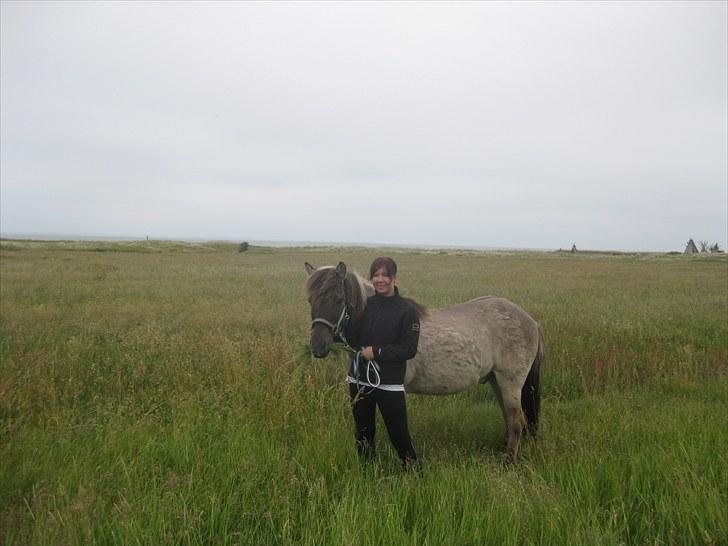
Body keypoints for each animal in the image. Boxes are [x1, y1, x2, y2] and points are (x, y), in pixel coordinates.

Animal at [302, 260, 544, 464]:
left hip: (509, 381)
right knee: (509, 417)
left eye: (338, 300)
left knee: (516, 420)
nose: (317, 346)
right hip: (495, 380)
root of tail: (531, 321)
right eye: (310, 300)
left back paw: (508, 461)